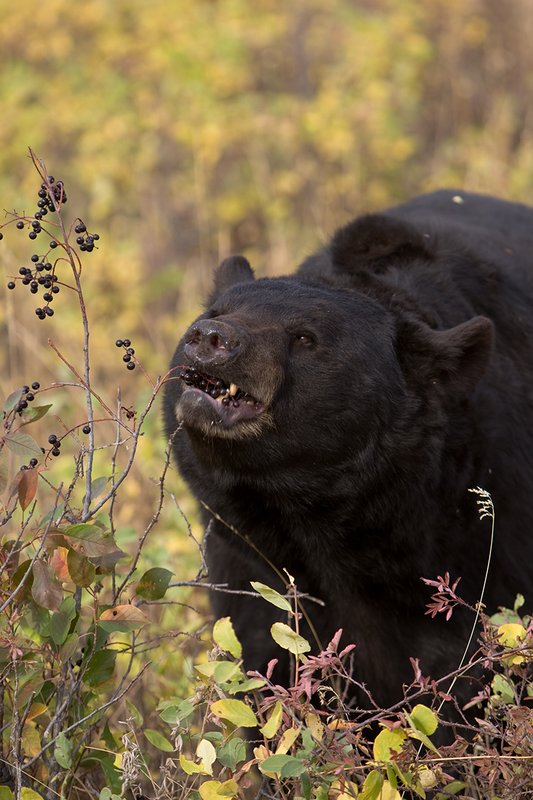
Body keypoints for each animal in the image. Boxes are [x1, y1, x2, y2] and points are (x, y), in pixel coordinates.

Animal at [163, 190, 533, 715]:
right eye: (215, 309)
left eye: (304, 337)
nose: (212, 339)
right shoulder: (246, 564)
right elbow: (260, 662)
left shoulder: (486, 545)